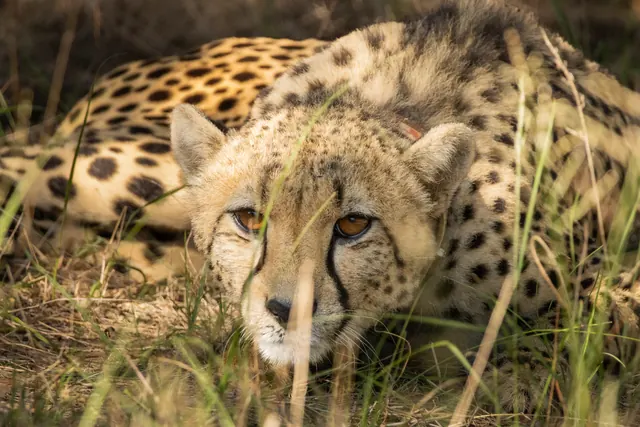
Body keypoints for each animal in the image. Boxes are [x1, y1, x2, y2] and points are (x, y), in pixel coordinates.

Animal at [169, 0, 640, 416]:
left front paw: (518, 374)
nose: (288, 311)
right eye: (249, 219)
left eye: (353, 224)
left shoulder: (605, 292)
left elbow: (566, 330)